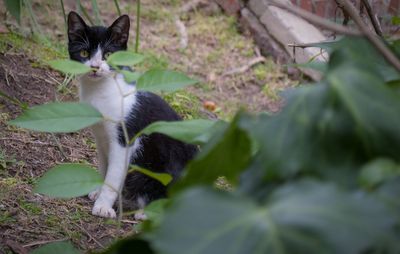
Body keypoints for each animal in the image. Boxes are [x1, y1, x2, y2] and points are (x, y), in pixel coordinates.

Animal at [67, 11, 198, 218]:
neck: (99, 93)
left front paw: (103, 206)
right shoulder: (101, 138)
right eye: (84, 53)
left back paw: (146, 212)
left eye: (108, 55)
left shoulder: (125, 140)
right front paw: (97, 191)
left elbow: (113, 176)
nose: (95, 66)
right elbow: (104, 167)